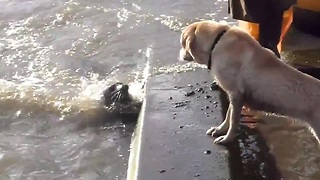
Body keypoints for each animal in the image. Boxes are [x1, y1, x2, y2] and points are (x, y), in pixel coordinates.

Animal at [179, 20, 320, 145]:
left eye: (182, 43)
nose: (179, 54)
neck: (216, 43)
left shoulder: (236, 94)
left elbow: (233, 120)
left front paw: (227, 139)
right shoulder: (234, 94)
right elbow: (228, 115)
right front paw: (220, 130)